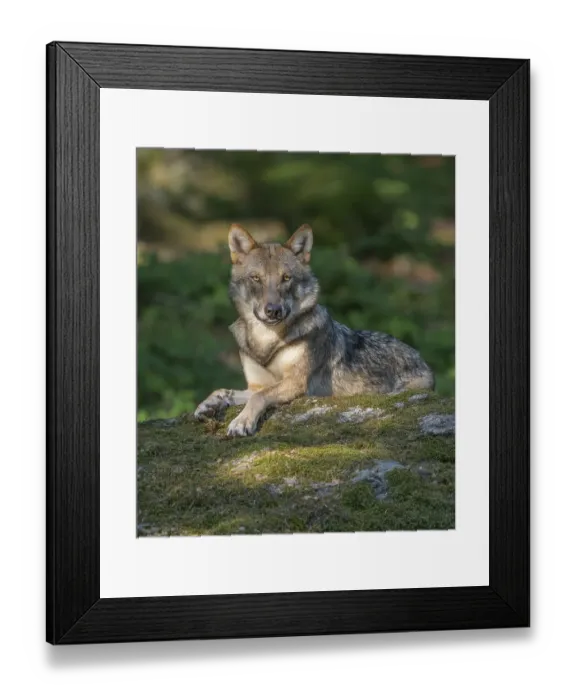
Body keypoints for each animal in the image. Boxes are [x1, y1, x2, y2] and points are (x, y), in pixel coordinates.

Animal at [194, 223, 435, 436]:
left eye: (286, 278)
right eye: (256, 278)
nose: (273, 311)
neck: (267, 341)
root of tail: (423, 361)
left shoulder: (296, 382)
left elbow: (259, 397)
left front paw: (241, 422)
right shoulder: (255, 384)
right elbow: (223, 390)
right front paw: (207, 405)